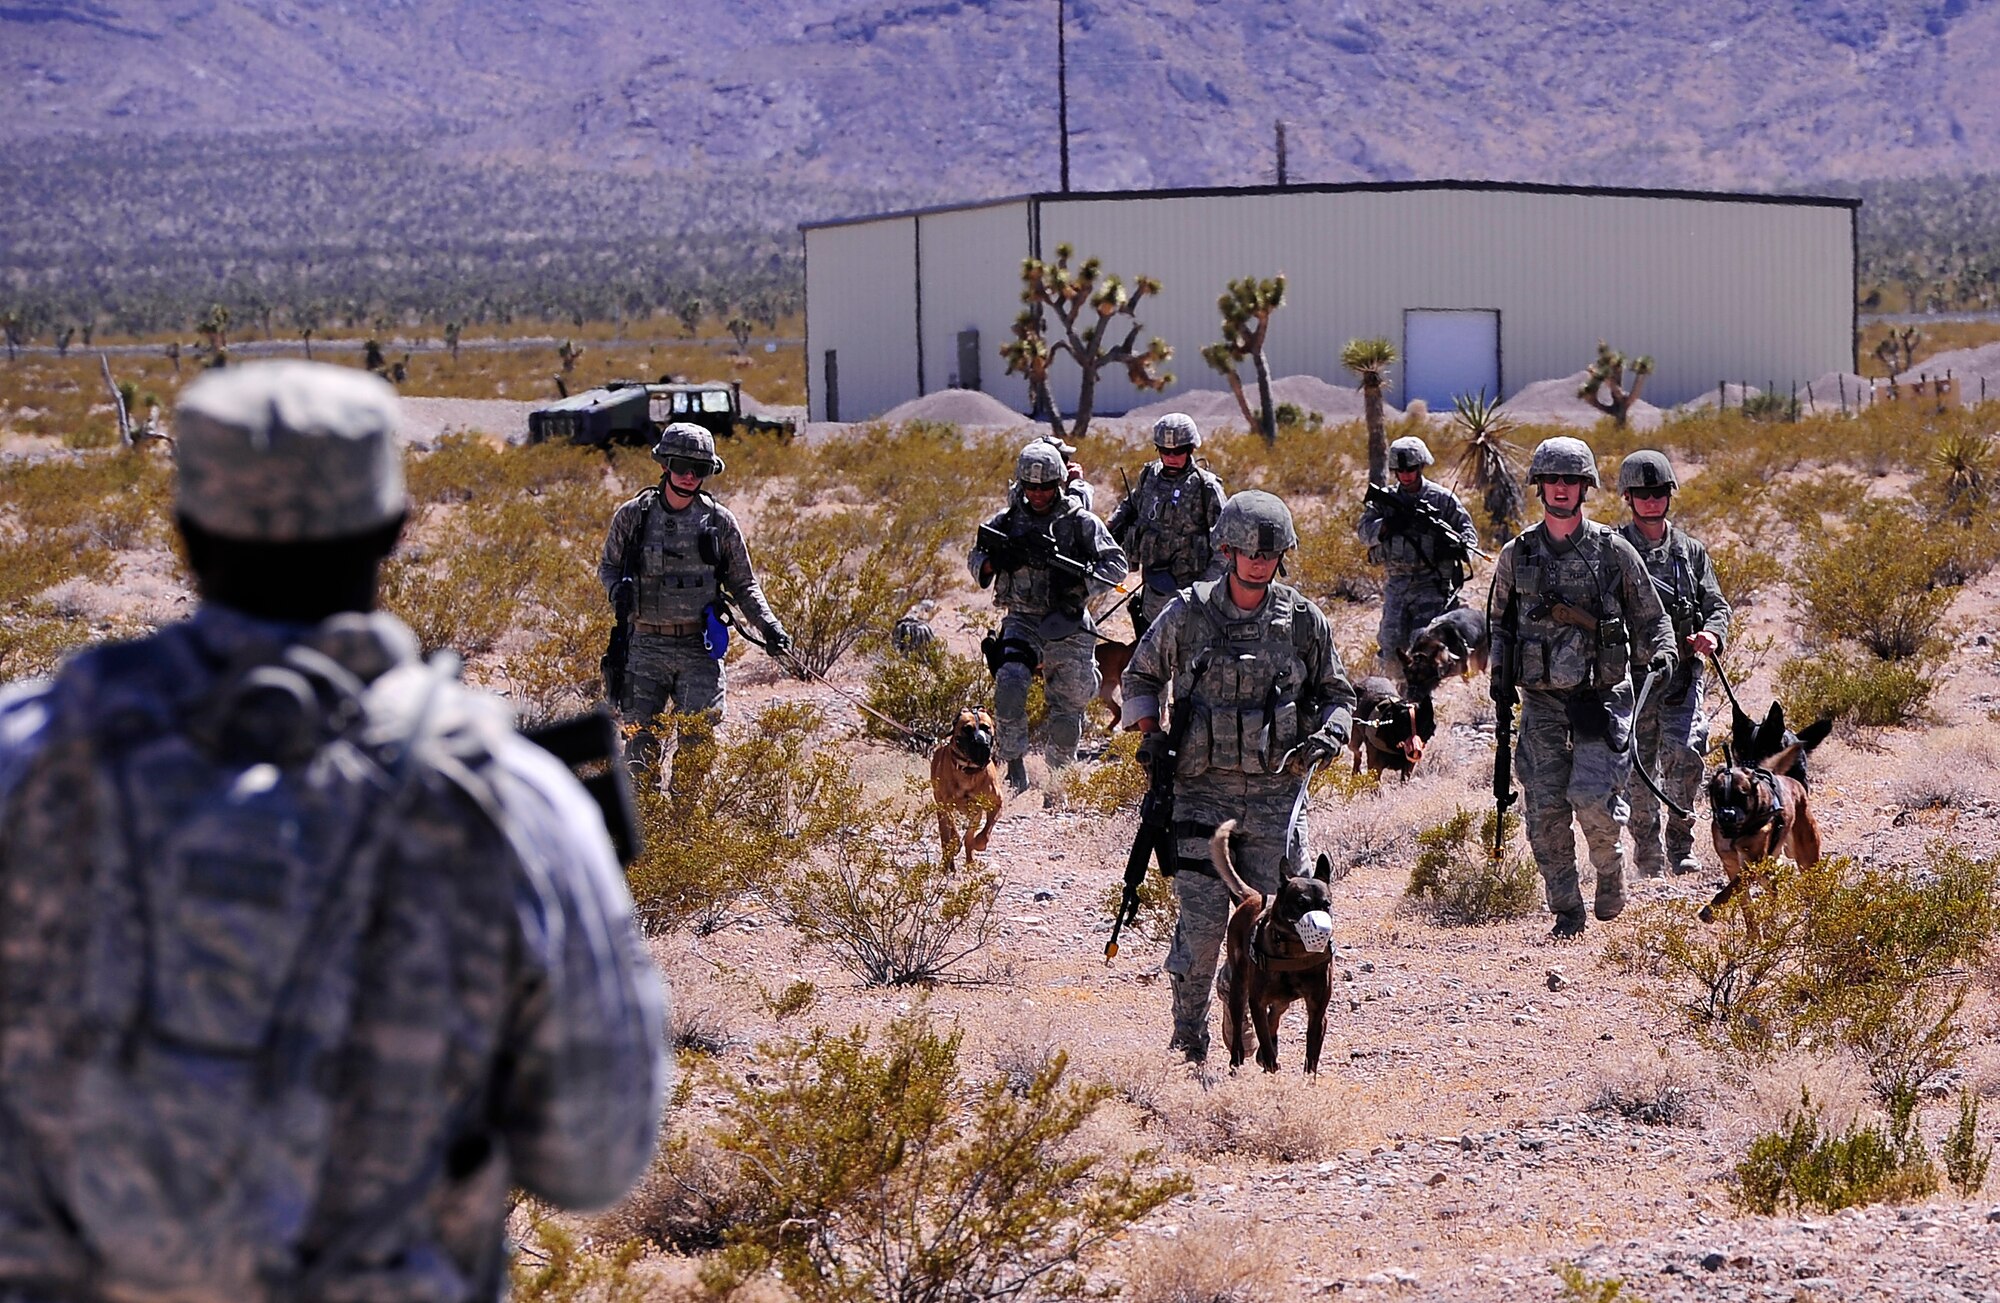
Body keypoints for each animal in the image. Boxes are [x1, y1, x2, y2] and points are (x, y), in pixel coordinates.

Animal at [932, 711, 1000, 863]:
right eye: (967, 729)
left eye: (986, 728)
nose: (980, 742)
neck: (969, 771)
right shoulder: (946, 805)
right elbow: (952, 826)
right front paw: (956, 840)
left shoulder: (996, 803)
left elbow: (986, 830)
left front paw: (979, 843)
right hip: (941, 812)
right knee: (946, 837)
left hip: (975, 814)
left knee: (969, 837)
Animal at [1208, 819, 1336, 1071]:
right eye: (1300, 903)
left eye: (1326, 904)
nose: (1322, 928)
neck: (1295, 953)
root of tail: (1252, 897)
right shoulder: (1257, 1002)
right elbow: (1266, 1043)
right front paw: (1270, 1065)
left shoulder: (1317, 1010)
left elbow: (1311, 1055)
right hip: (1239, 988)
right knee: (1241, 1026)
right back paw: (1236, 1060)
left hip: (1281, 1001)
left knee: (1275, 1016)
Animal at [1704, 703, 1832, 935]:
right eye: (1718, 795)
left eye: (1741, 795)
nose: (1727, 816)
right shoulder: (1732, 865)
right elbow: (1743, 902)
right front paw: (1754, 935)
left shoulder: (1752, 863)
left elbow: (1729, 890)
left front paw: (1710, 910)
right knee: (1773, 888)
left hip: (1806, 857)